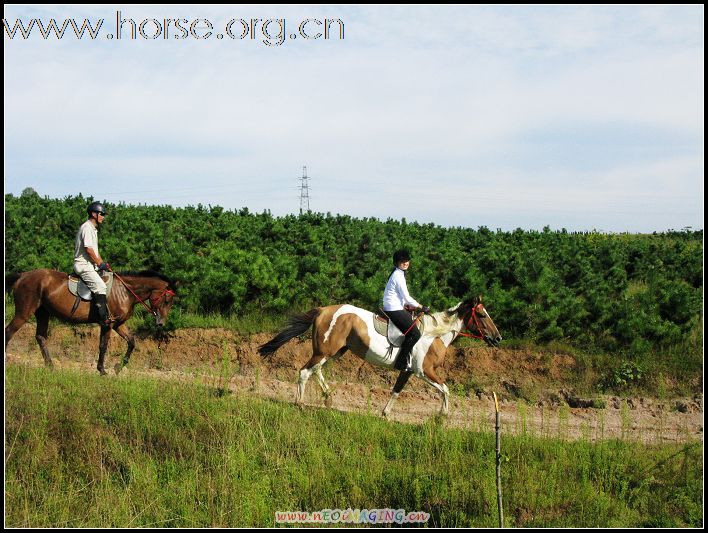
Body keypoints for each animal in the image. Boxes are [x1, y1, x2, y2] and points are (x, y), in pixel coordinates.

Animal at [5, 266, 178, 374]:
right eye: (167, 300)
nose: (161, 323)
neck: (125, 291)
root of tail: (22, 275)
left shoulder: (118, 324)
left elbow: (132, 342)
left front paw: (118, 367)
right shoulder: (108, 323)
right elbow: (103, 346)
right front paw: (102, 370)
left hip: (43, 313)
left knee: (40, 337)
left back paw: (50, 366)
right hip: (24, 312)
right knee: (9, 332)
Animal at [260, 298, 504, 418]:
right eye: (481, 315)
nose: (498, 338)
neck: (435, 335)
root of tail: (323, 310)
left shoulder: (407, 371)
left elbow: (396, 391)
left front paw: (385, 413)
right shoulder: (423, 371)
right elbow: (446, 389)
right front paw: (441, 417)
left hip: (335, 351)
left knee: (315, 370)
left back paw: (328, 398)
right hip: (325, 351)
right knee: (304, 371)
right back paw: (300, 404)